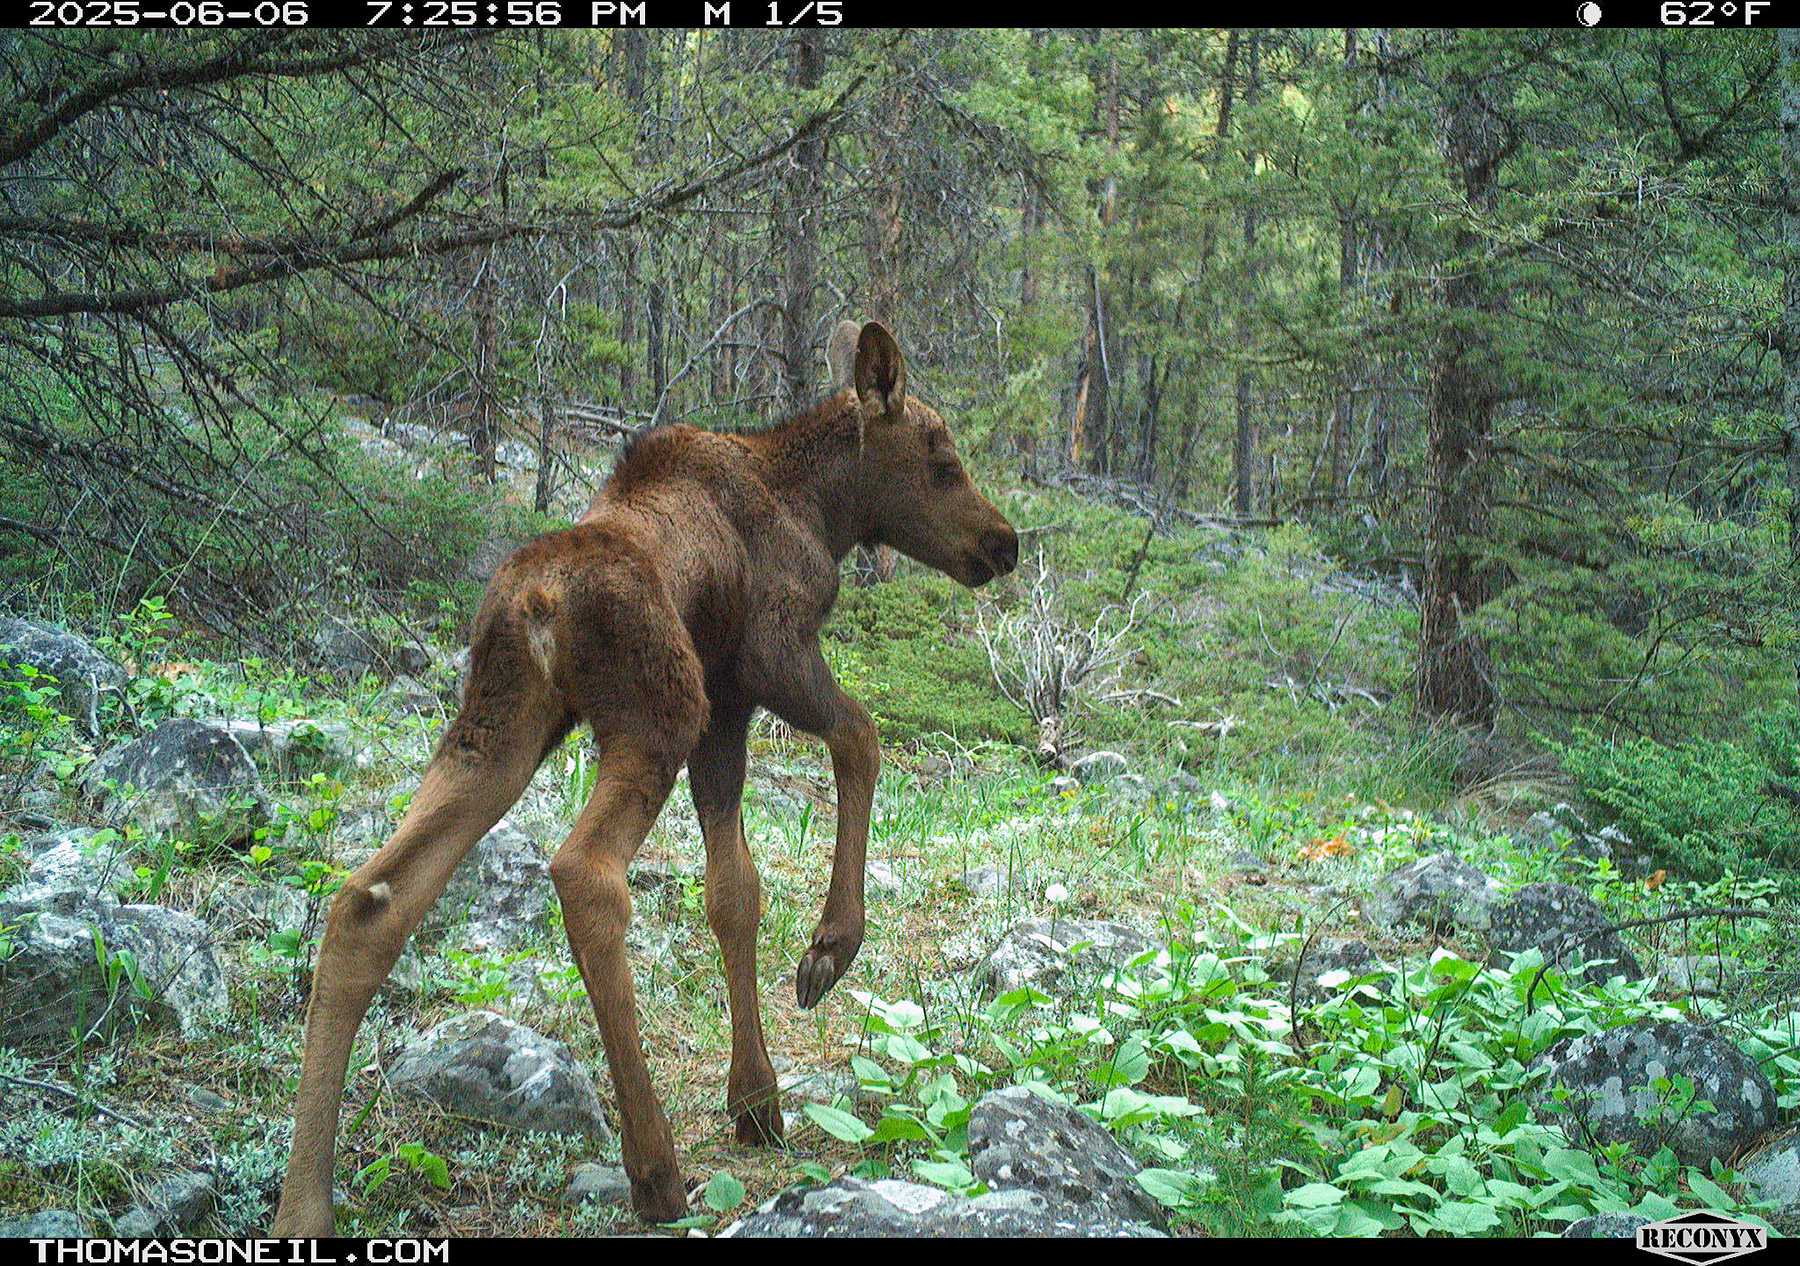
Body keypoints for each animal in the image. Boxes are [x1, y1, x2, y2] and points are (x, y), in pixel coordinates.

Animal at [270, 320, 1020, 1232]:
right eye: (943, 462)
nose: (1004, 542)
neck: (822, 507)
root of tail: (538, 602)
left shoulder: (726, 705)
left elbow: (733, 892)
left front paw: (756, 1097)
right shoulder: (766, 659)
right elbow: (862, 739)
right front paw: (828, 950)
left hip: (497, 733)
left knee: (367, 900)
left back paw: (304, 1202)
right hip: (655, 714)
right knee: (584, 873)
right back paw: (655, 1169)